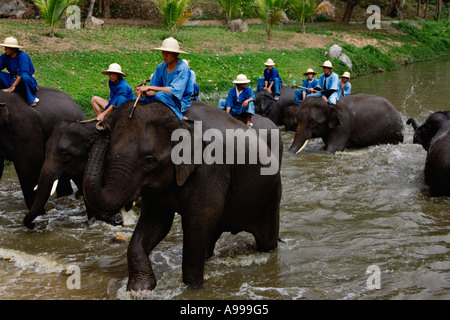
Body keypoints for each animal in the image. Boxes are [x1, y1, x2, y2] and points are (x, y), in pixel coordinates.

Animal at [82, 100, 284, 292]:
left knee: (266, 240)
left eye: (149, 161)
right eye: (108, 157)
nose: (101, 124)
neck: (178, 117)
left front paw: (193, 288)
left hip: (272, 192)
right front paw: (139, 290)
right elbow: (156, 223)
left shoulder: (211, 167)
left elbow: (198, 220)